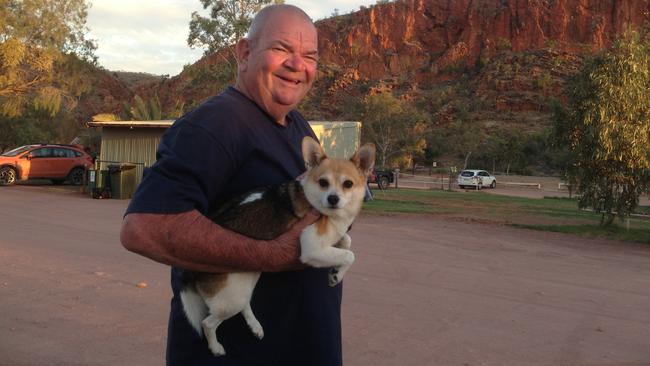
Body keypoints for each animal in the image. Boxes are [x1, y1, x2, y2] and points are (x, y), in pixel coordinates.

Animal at [181, 137, 374, 354]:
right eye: (323, 183)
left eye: (348, 184)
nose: (333, 198)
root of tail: (190, 271)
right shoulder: (311, 248)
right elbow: (350, 255)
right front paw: (337, 275)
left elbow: (346, 242)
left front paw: (337, 265)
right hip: (230, 299)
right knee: (207, 324)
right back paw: (215, 348)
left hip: (245, 279)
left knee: (244, 304)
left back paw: (255, 326)